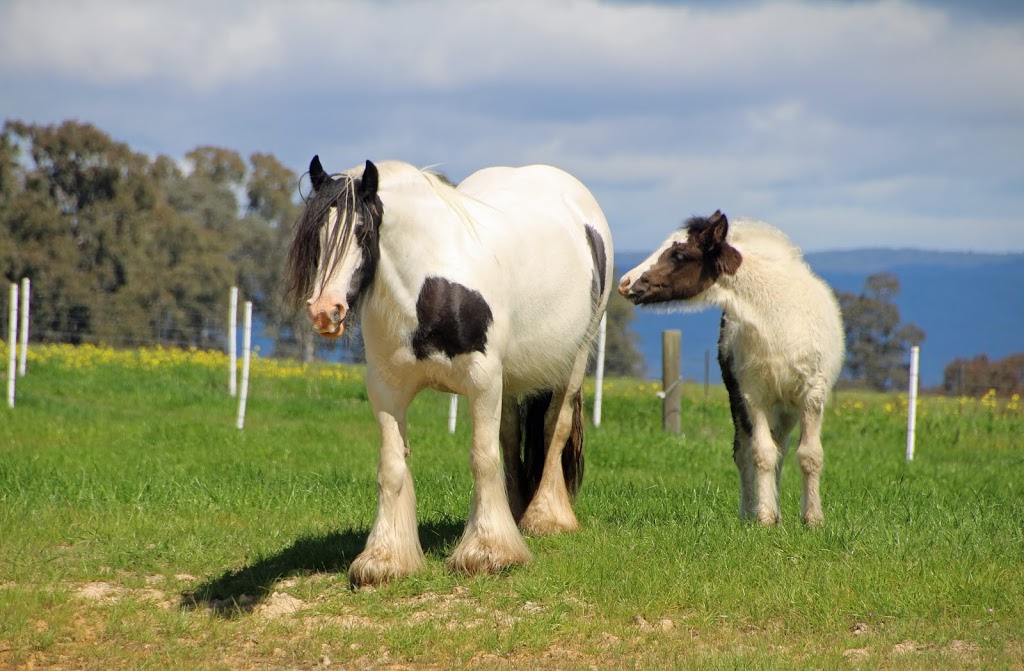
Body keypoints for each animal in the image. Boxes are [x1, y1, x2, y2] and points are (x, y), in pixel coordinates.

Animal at [286, 155, 614, 581]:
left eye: (361, 231)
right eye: (317, 237)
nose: (326, 311)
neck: (430, 288)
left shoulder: (483, 381)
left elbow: (482, 458)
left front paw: (488, 552)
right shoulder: (386, 390)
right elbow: (392, 466)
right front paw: (386, 559)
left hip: (573, 362)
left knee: (552, 428)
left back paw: (545, 517)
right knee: (511, 438)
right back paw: (515, 511)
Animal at [618, 213, 843, 528]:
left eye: (679, 254)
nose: (625, 282)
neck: (776, 319)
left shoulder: (812, 394)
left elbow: (809, 455)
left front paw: (813, 520)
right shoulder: (753, 396)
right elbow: (760, 453)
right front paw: (763, 518)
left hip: (786, 408)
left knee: (782, 448)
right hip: (742, 400)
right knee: (748, 451)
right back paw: (754, 511)